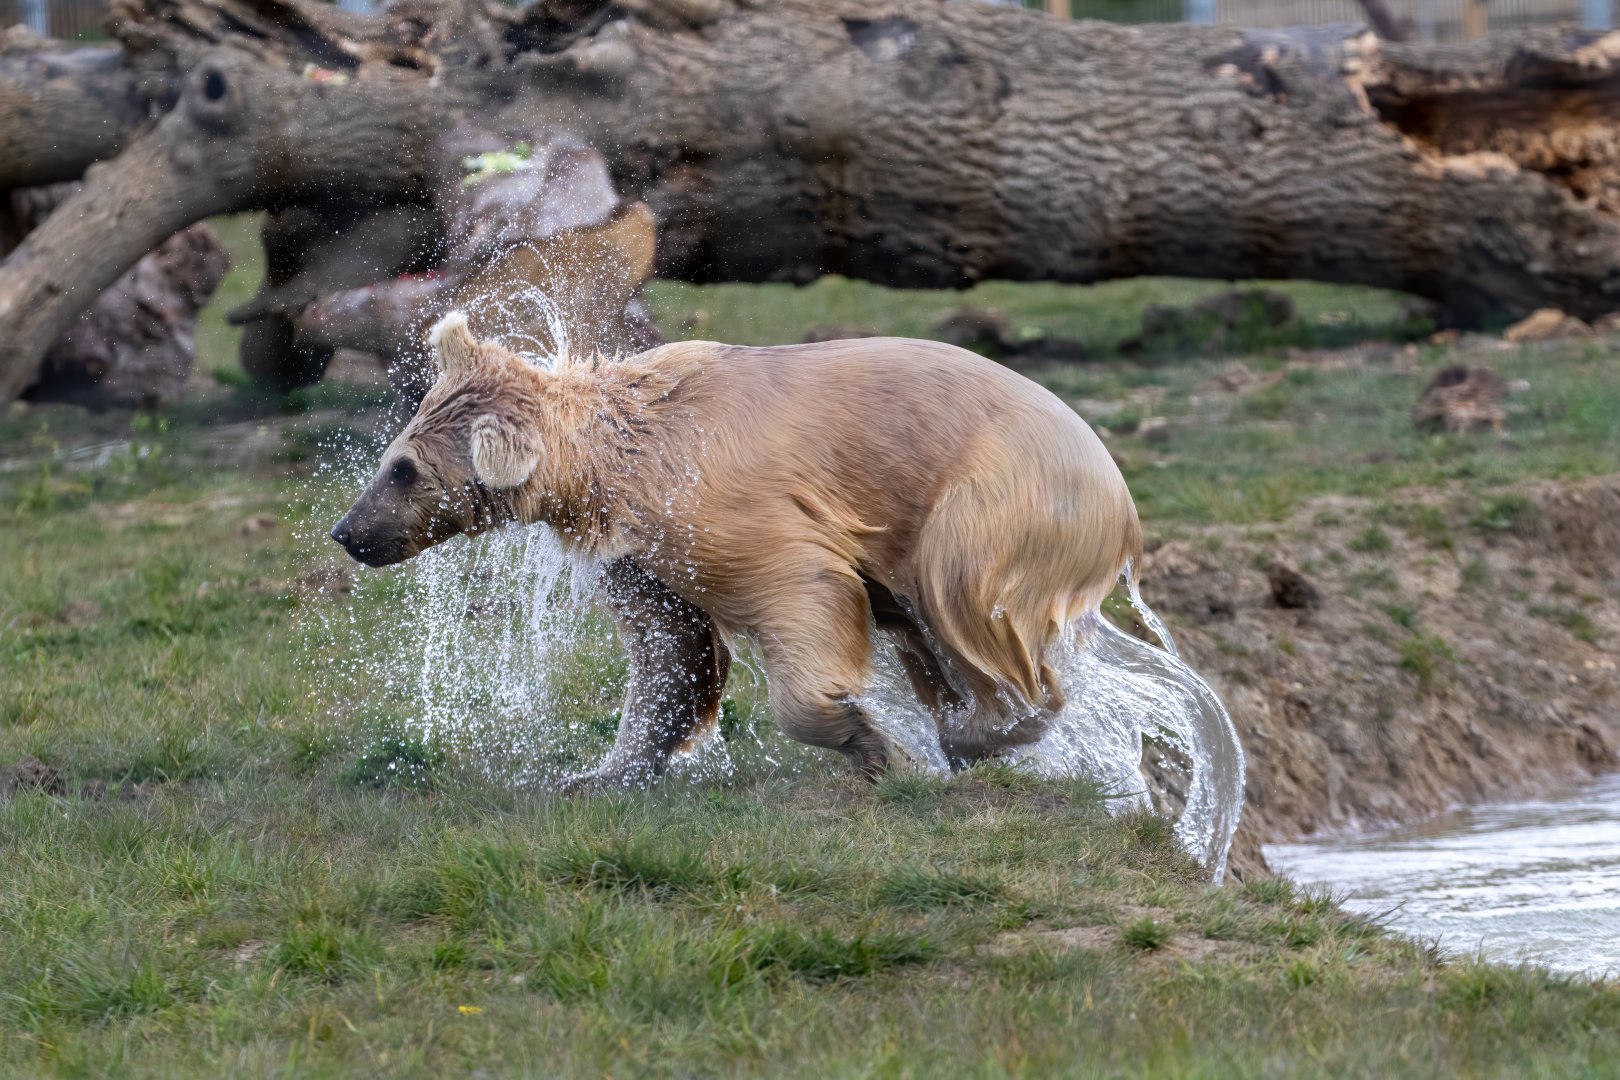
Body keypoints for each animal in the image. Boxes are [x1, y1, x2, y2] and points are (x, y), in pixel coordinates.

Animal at [332, 312, 1142, 787]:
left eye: (401, 469)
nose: (349, 531)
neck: (609, 463)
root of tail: (1122, 498)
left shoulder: (717, 500)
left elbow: (803, 590)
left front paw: (869, 739)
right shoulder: (642, 548)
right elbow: (670, 651)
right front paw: (603, 770)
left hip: (993, 498)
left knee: (963, 600)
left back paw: (992, 724)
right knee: (930, 630)